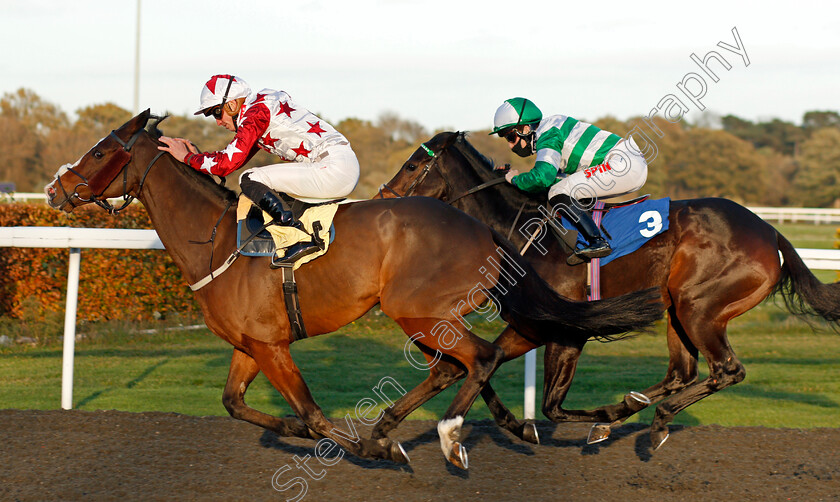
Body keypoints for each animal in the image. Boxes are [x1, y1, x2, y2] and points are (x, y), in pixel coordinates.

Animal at [44, 112, 664, 468]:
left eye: (100, 151)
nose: (55, 188)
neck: (217, 241)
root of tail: (480, 228)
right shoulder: (252, 344)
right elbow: (235, 404)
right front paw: (318, 432)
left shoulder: (271, 346)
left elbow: (315, 415)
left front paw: (373, 447)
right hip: (428, 315)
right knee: (455, 365)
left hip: (415, 310)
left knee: (479, 358)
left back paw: (450, 436)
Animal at [380, 131, 840, 450]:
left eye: (412, 165)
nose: (383, 197)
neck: (522, 229)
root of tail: (771, 232)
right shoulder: (532, 325)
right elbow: (482, 365)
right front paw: (516, 426)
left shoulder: (566, 329)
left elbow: (550, 405)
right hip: (676, 310)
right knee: (682, 372)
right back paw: (629, 410)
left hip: (699, 306)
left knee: (727, 370)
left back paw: (650, 419)